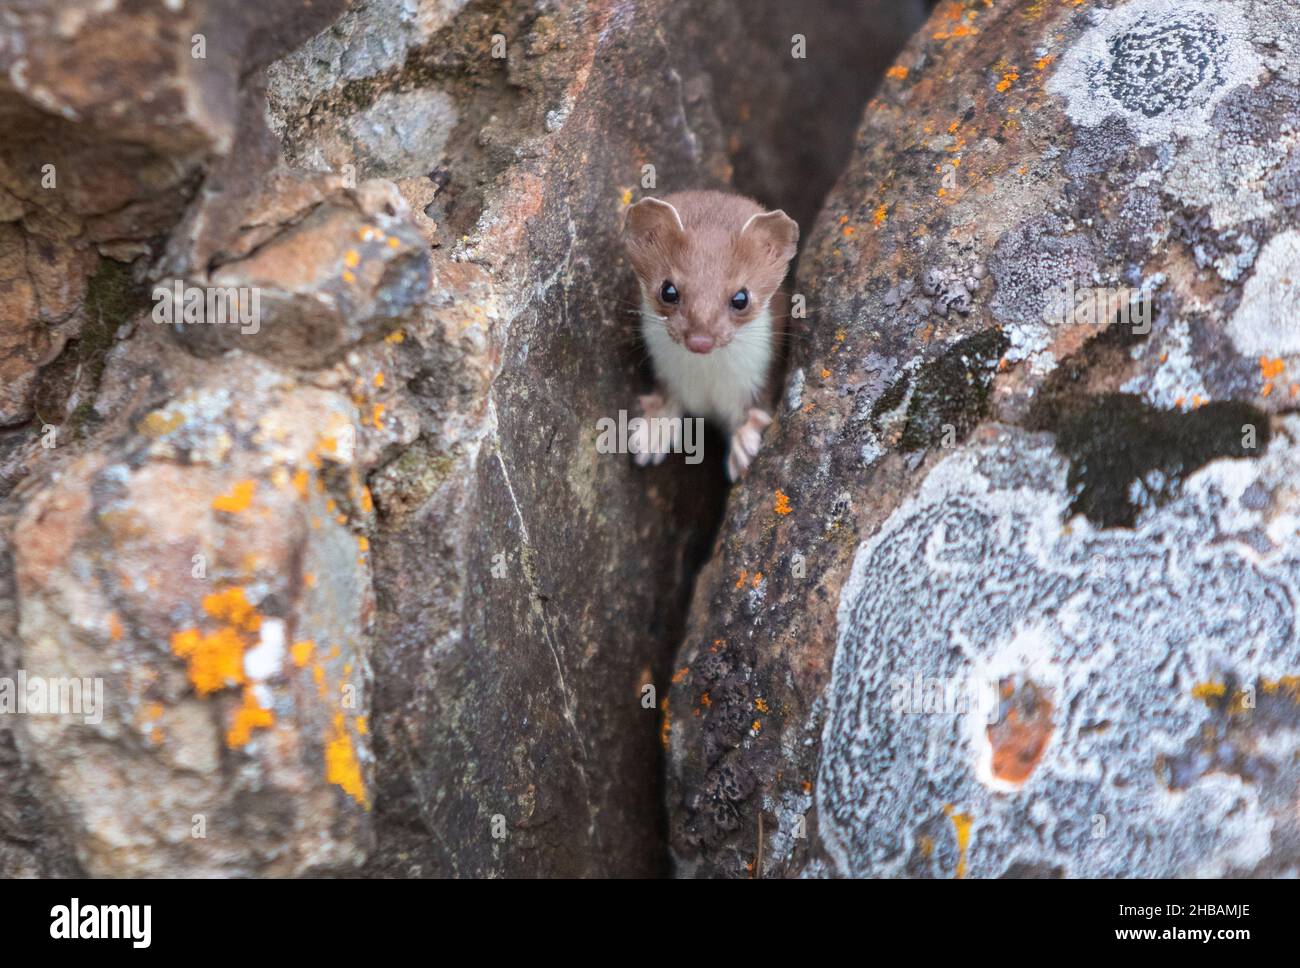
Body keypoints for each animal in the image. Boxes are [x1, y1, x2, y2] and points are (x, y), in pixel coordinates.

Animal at [621, 188, 795, 480]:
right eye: (668, 290)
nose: (700, 341)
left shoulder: (760, 375)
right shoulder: (668, 373)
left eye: (741, 298)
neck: (707, 381)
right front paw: (654, 432)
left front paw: (744, 444)